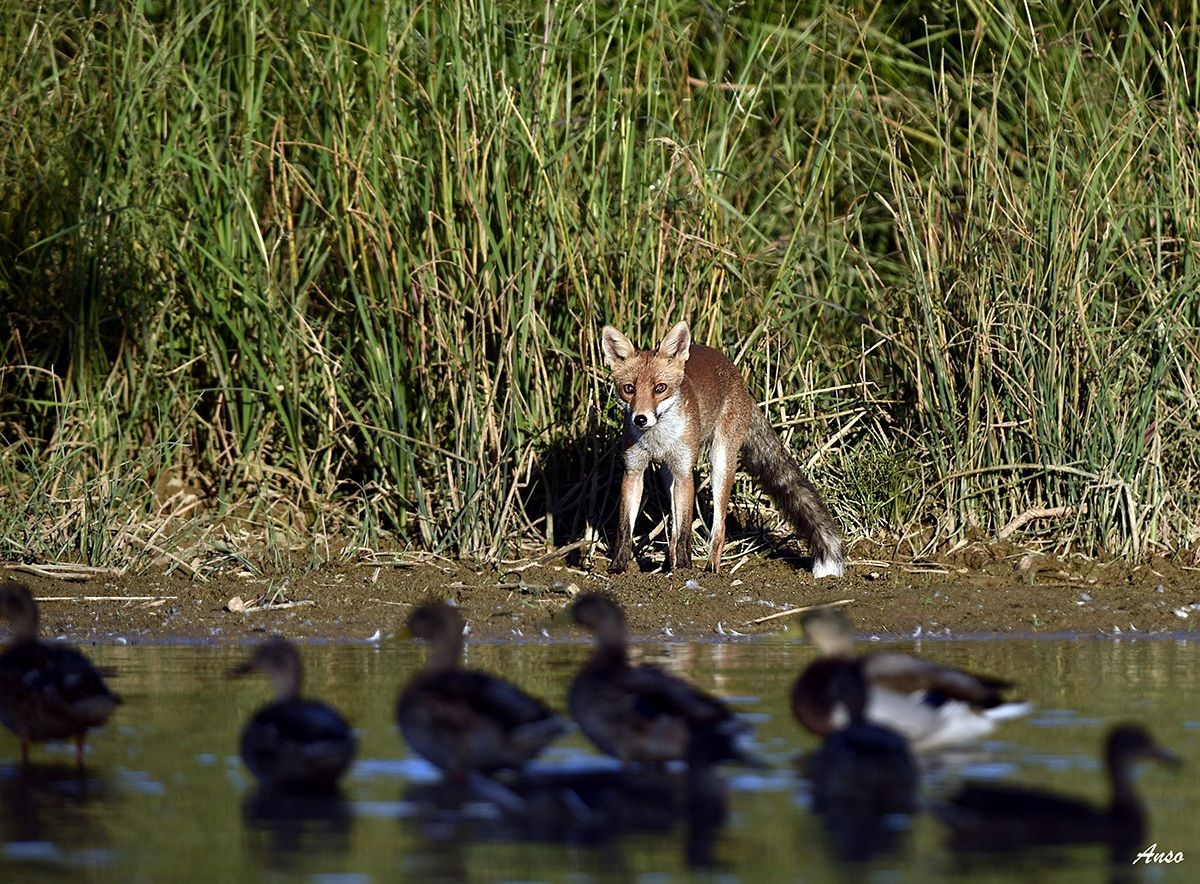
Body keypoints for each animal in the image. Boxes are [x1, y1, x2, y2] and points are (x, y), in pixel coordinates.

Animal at [600, 321, 844, 575]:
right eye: (629, 388)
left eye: (660, 388)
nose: (640, 419)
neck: (657, 440)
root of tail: (738, 378)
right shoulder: (634, 471)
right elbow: (625, 529)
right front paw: (618, 567)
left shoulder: (685, 473)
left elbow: (685, 530)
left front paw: (685, 568)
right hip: (670, 475)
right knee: (674, 529)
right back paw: (669, 564)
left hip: (720, 463)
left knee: (719, 527)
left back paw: (710, 569)